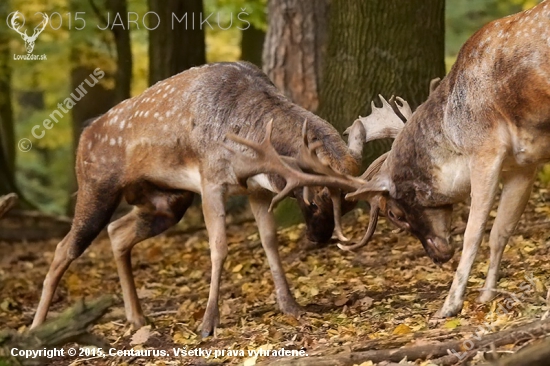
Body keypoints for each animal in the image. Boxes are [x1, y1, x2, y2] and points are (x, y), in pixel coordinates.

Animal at [31, 61, 366, 336]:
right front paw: (207, 324)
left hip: (166, 201)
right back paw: (37, 328)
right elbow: (218, 248)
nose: (319, 237)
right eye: (316, 200)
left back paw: (137, 318)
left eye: (350, 205)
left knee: (118, 232)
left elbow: (269, 240)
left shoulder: (255, 190)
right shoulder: (211, 180)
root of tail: (85, 133)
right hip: (95, 186)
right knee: (65, 248)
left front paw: (291, 306)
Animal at [231, 0, 550, 318]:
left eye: (394, 213)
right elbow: (501, 231)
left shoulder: (485, 149)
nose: (438, 256)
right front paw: (485, 296)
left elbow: (474, 233)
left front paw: (449, 306)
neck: (454, 133)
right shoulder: (523, 163)